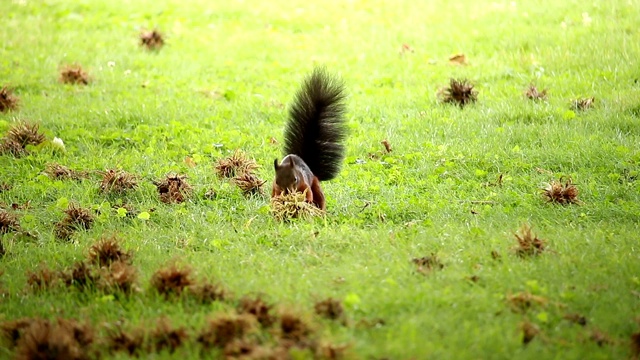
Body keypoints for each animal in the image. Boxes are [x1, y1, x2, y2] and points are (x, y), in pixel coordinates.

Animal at [272, 68, 348, 211]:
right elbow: (274, 195)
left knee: (319, 197)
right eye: (277, 181)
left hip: (315, 183)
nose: (287, 192)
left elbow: (308, 194)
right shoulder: (275, 187)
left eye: (295, 179)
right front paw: (279, 202)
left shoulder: (304, 184)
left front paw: (305, 201)